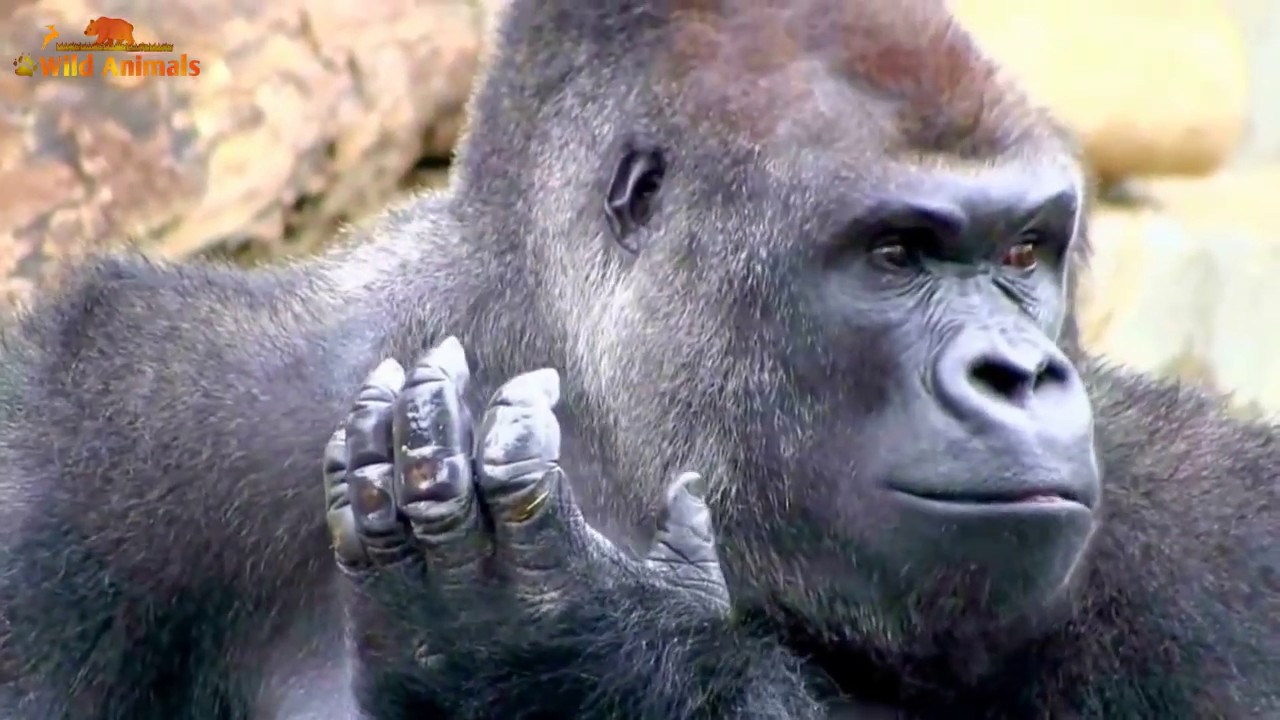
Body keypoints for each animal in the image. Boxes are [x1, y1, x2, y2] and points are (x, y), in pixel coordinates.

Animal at [0, 0, 1275, 718]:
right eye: (895, 253)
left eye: (1022, 249)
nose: (1018, 375)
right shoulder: (97, 435)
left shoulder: (1213, 535)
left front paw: (585, 655)